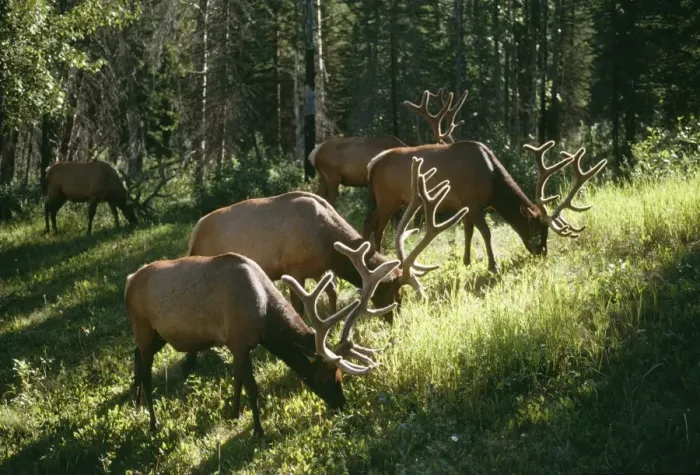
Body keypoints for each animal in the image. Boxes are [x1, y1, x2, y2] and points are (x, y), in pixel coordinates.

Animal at [125, 240, 400, 435]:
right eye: (326, 378)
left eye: (341, 375)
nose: (342, 404)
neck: (264, 317)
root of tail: (128, 281)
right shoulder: (238, 340)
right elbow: (251, 386)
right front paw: (258, 429)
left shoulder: (237, 345)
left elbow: (237, 379)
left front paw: (234, 412)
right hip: (143, 325)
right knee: (146, 372)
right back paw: (153, 422)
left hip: (157, 334)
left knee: (135, 355)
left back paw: (136, 403)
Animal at [184, 157, 468, 371]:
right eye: (391, 294)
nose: (394, 322)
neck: (327, 242)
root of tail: (193, 236)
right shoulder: (294, 269)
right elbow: (298, 307)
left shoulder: (321, 270)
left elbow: (331, 294)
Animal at [363, 140, 607, 273]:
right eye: (537, 229)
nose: (542, 252)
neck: (492, 183)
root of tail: (371, 165)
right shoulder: (473, 201)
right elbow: (486, 233)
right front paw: (493, 265)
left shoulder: (464, 205)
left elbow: (468, 232)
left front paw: (466, 261)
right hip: (388, 199)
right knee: (378, 227)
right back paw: (378, 258)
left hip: (386, 200)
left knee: (368, 220)